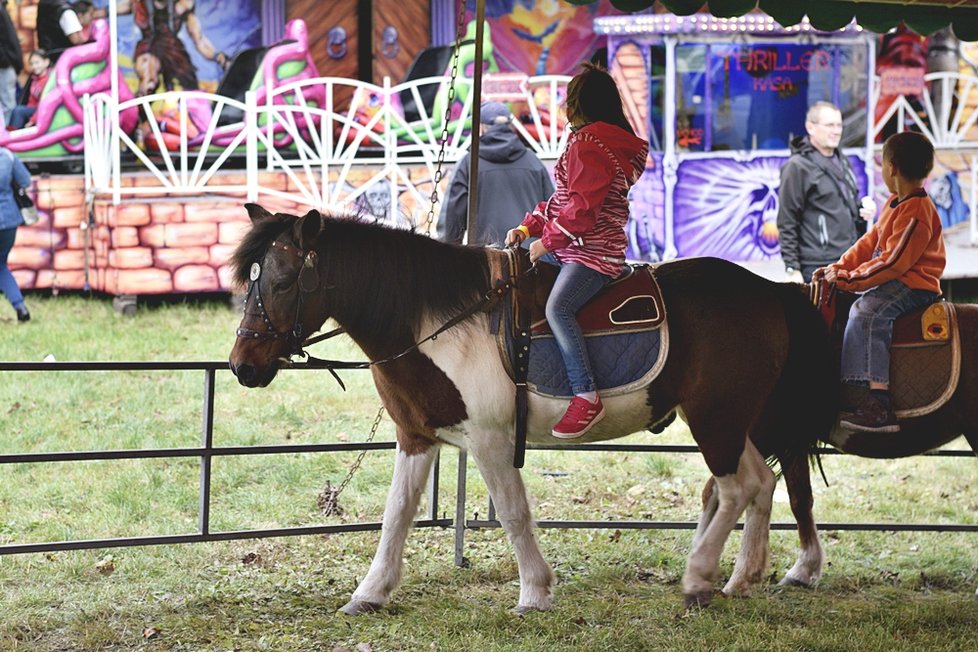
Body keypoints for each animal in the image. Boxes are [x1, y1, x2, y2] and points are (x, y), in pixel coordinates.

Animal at [225, 208, 836, 612]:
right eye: (249, 281)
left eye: (282, 280)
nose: (241, 366)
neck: (439, 321)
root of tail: (769, 289)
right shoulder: (417, 436)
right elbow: (396, 514)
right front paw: (370, 593)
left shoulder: (490, 440)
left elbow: (515, 515)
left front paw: (534, 592)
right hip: (732, 419)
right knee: (760, 482)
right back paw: (741, 577)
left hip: (716, 418)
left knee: (736, 487)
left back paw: (699, 577)